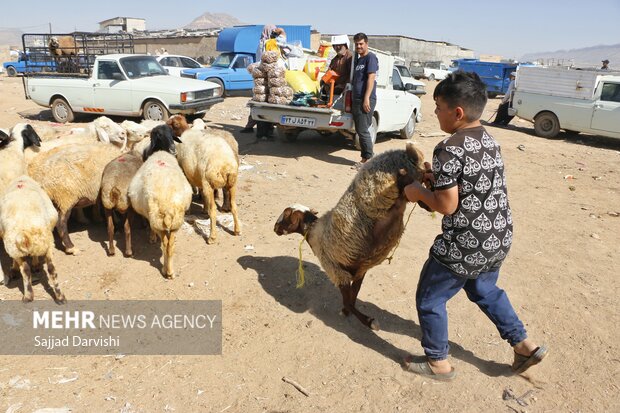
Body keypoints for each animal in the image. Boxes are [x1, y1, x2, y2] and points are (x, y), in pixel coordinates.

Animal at [128, 124, 191, 278]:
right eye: (160, 136)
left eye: (171, 134)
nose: (173, 149)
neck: (161, 152)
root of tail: (167, 206)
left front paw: (151, 238)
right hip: (176, 223)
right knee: (171, 245)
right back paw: (171, 271)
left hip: (157, 221)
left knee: (165, 244)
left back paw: (166, 271)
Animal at [276, 143, 426, 330]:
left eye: (286, 214)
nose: (275, 228)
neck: (313, 231)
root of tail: (406, 153)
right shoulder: (358, 270)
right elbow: (353, 297)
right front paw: (349, 312)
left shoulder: (336, 271)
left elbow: (349, 302)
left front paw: (368, 321)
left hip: (382, 194)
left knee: (405, 182)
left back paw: (405, 175)